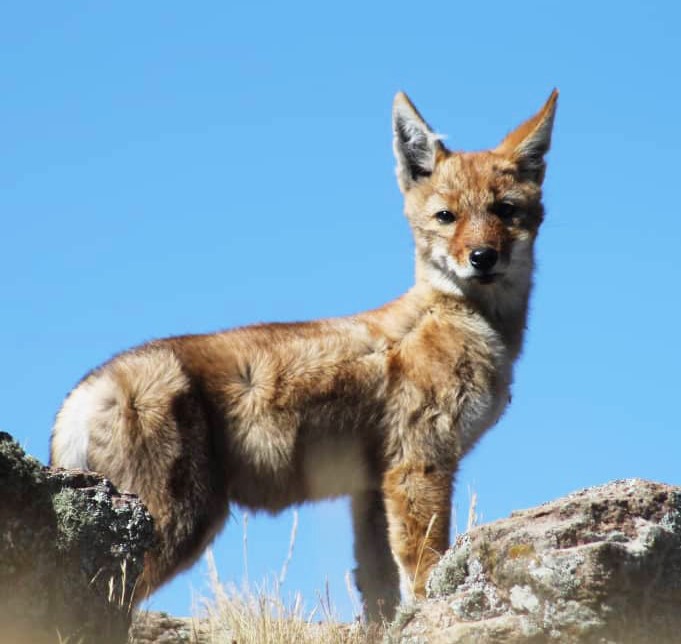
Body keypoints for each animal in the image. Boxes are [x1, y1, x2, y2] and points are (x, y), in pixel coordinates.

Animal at [49, 90, 556, 620]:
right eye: (446, 217)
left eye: (505, 211)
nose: (482, 258)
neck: (456, 318)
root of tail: (83, 395)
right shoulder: (418, 467)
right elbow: (422, 574)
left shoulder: (370, 489)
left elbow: (379, 596)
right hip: (177, 527)